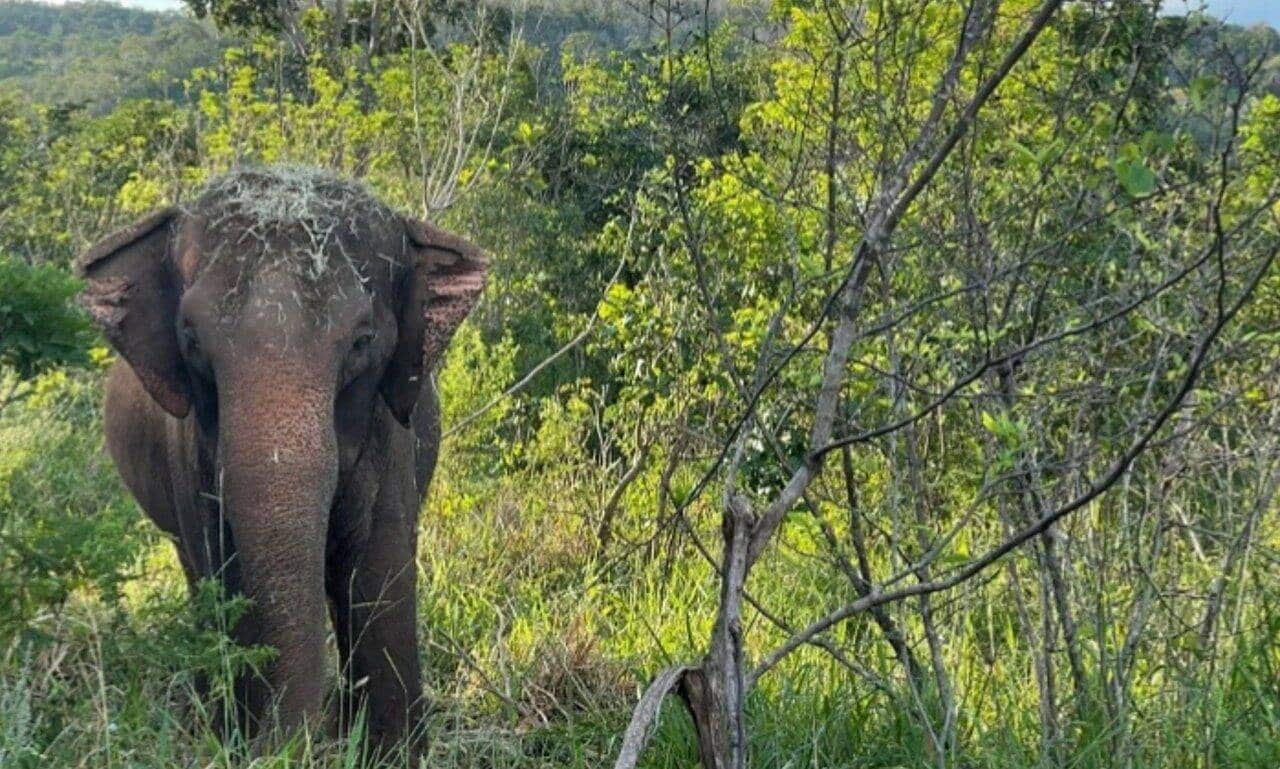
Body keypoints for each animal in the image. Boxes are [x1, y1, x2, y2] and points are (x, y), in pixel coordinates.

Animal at [76, 166, 487, 751]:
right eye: (190, 340)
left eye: (361, 341)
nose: (305, 741)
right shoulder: (188, 453)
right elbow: (224, 573)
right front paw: (243, 740)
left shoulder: (389, 436)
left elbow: (378, 569)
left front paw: (389, 752)